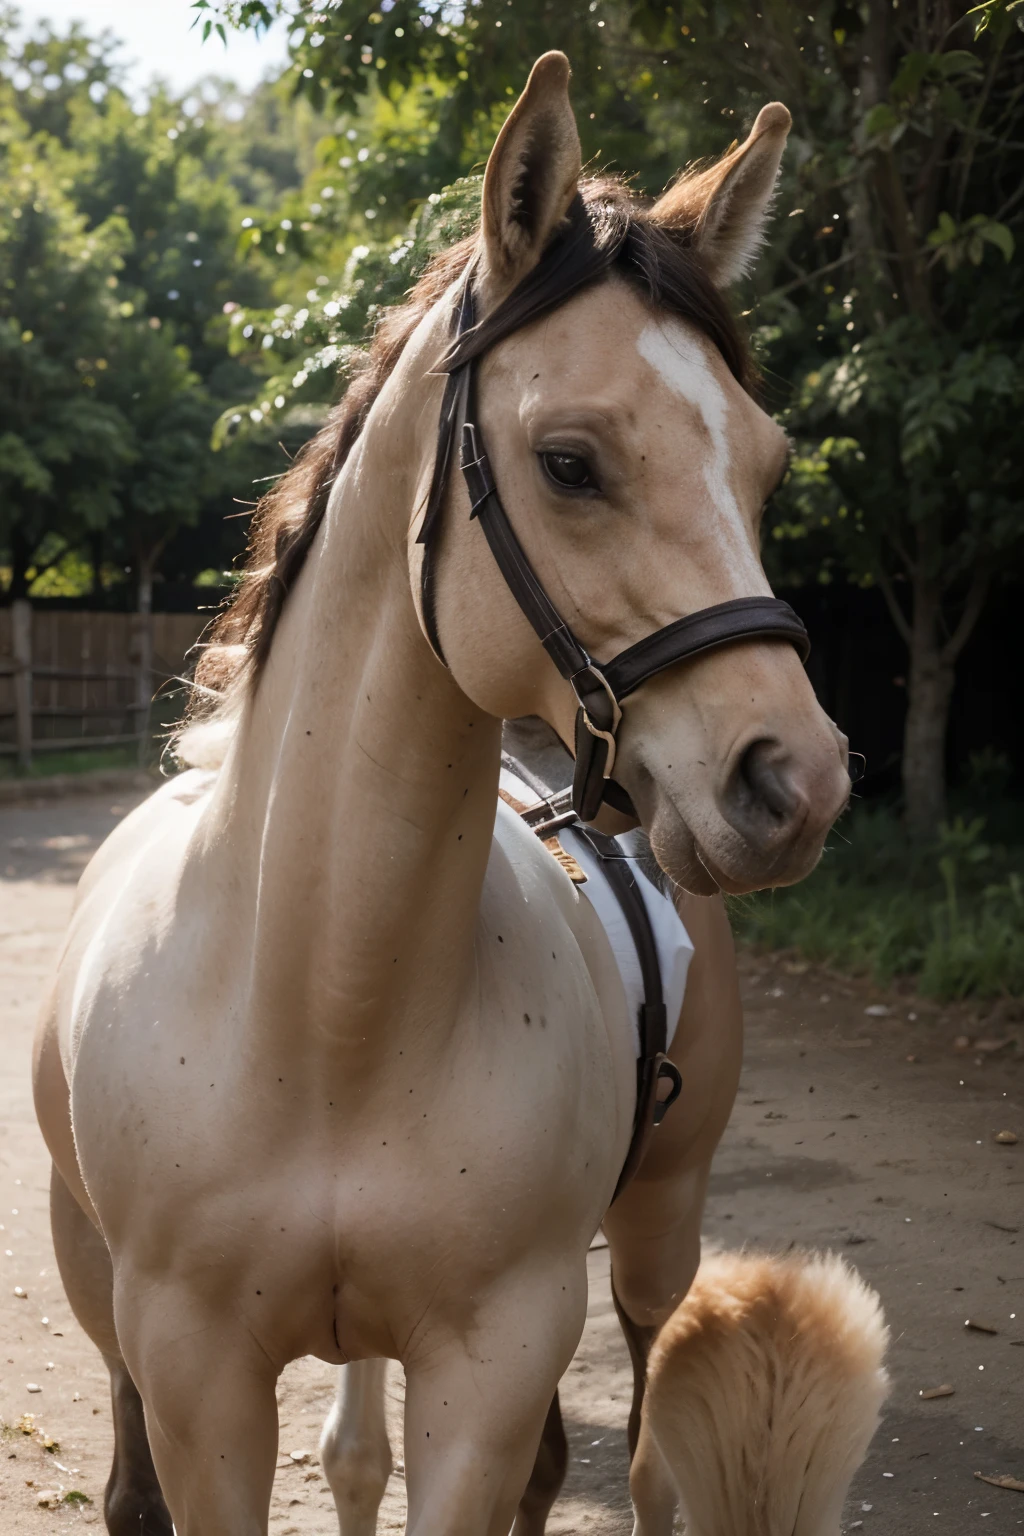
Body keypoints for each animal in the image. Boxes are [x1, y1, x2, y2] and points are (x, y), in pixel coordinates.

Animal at [32, 54, 847, 1536]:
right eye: (569, 461)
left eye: (764, 467)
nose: (793, 782)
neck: (326, 1013)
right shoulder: (195, 1375)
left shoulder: (494, 1359)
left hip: (656, 1233)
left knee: (643, 1458)